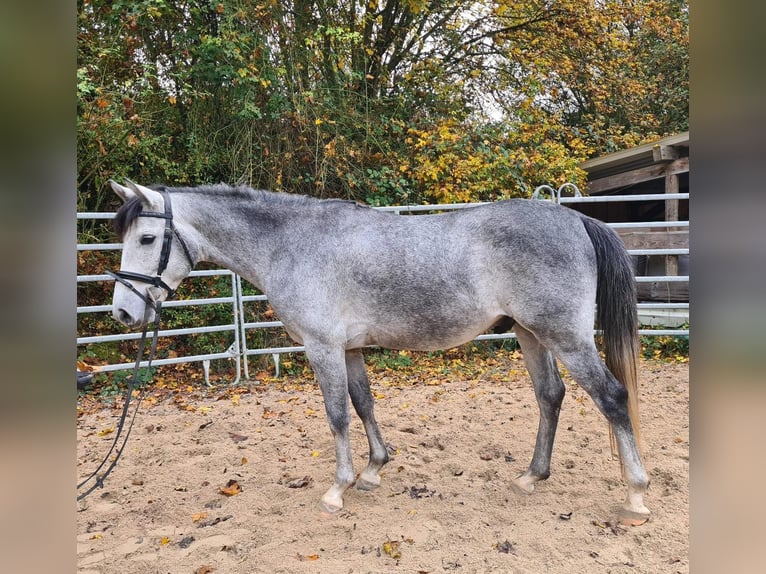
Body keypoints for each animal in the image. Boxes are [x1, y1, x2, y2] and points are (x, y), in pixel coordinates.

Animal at [108, 181, 652, 528]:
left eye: (148, 238)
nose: (123, 312)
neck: (295, 245)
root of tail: (575, 218)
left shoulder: (323, 347)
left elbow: (336, 415)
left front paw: (337, 489)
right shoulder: (350, 350)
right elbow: (363, 404)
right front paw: (373, 470)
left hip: (564, 336)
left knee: (611, 397)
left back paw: (636, 495)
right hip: (530, 333)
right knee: (550, 396)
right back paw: (531, 477)